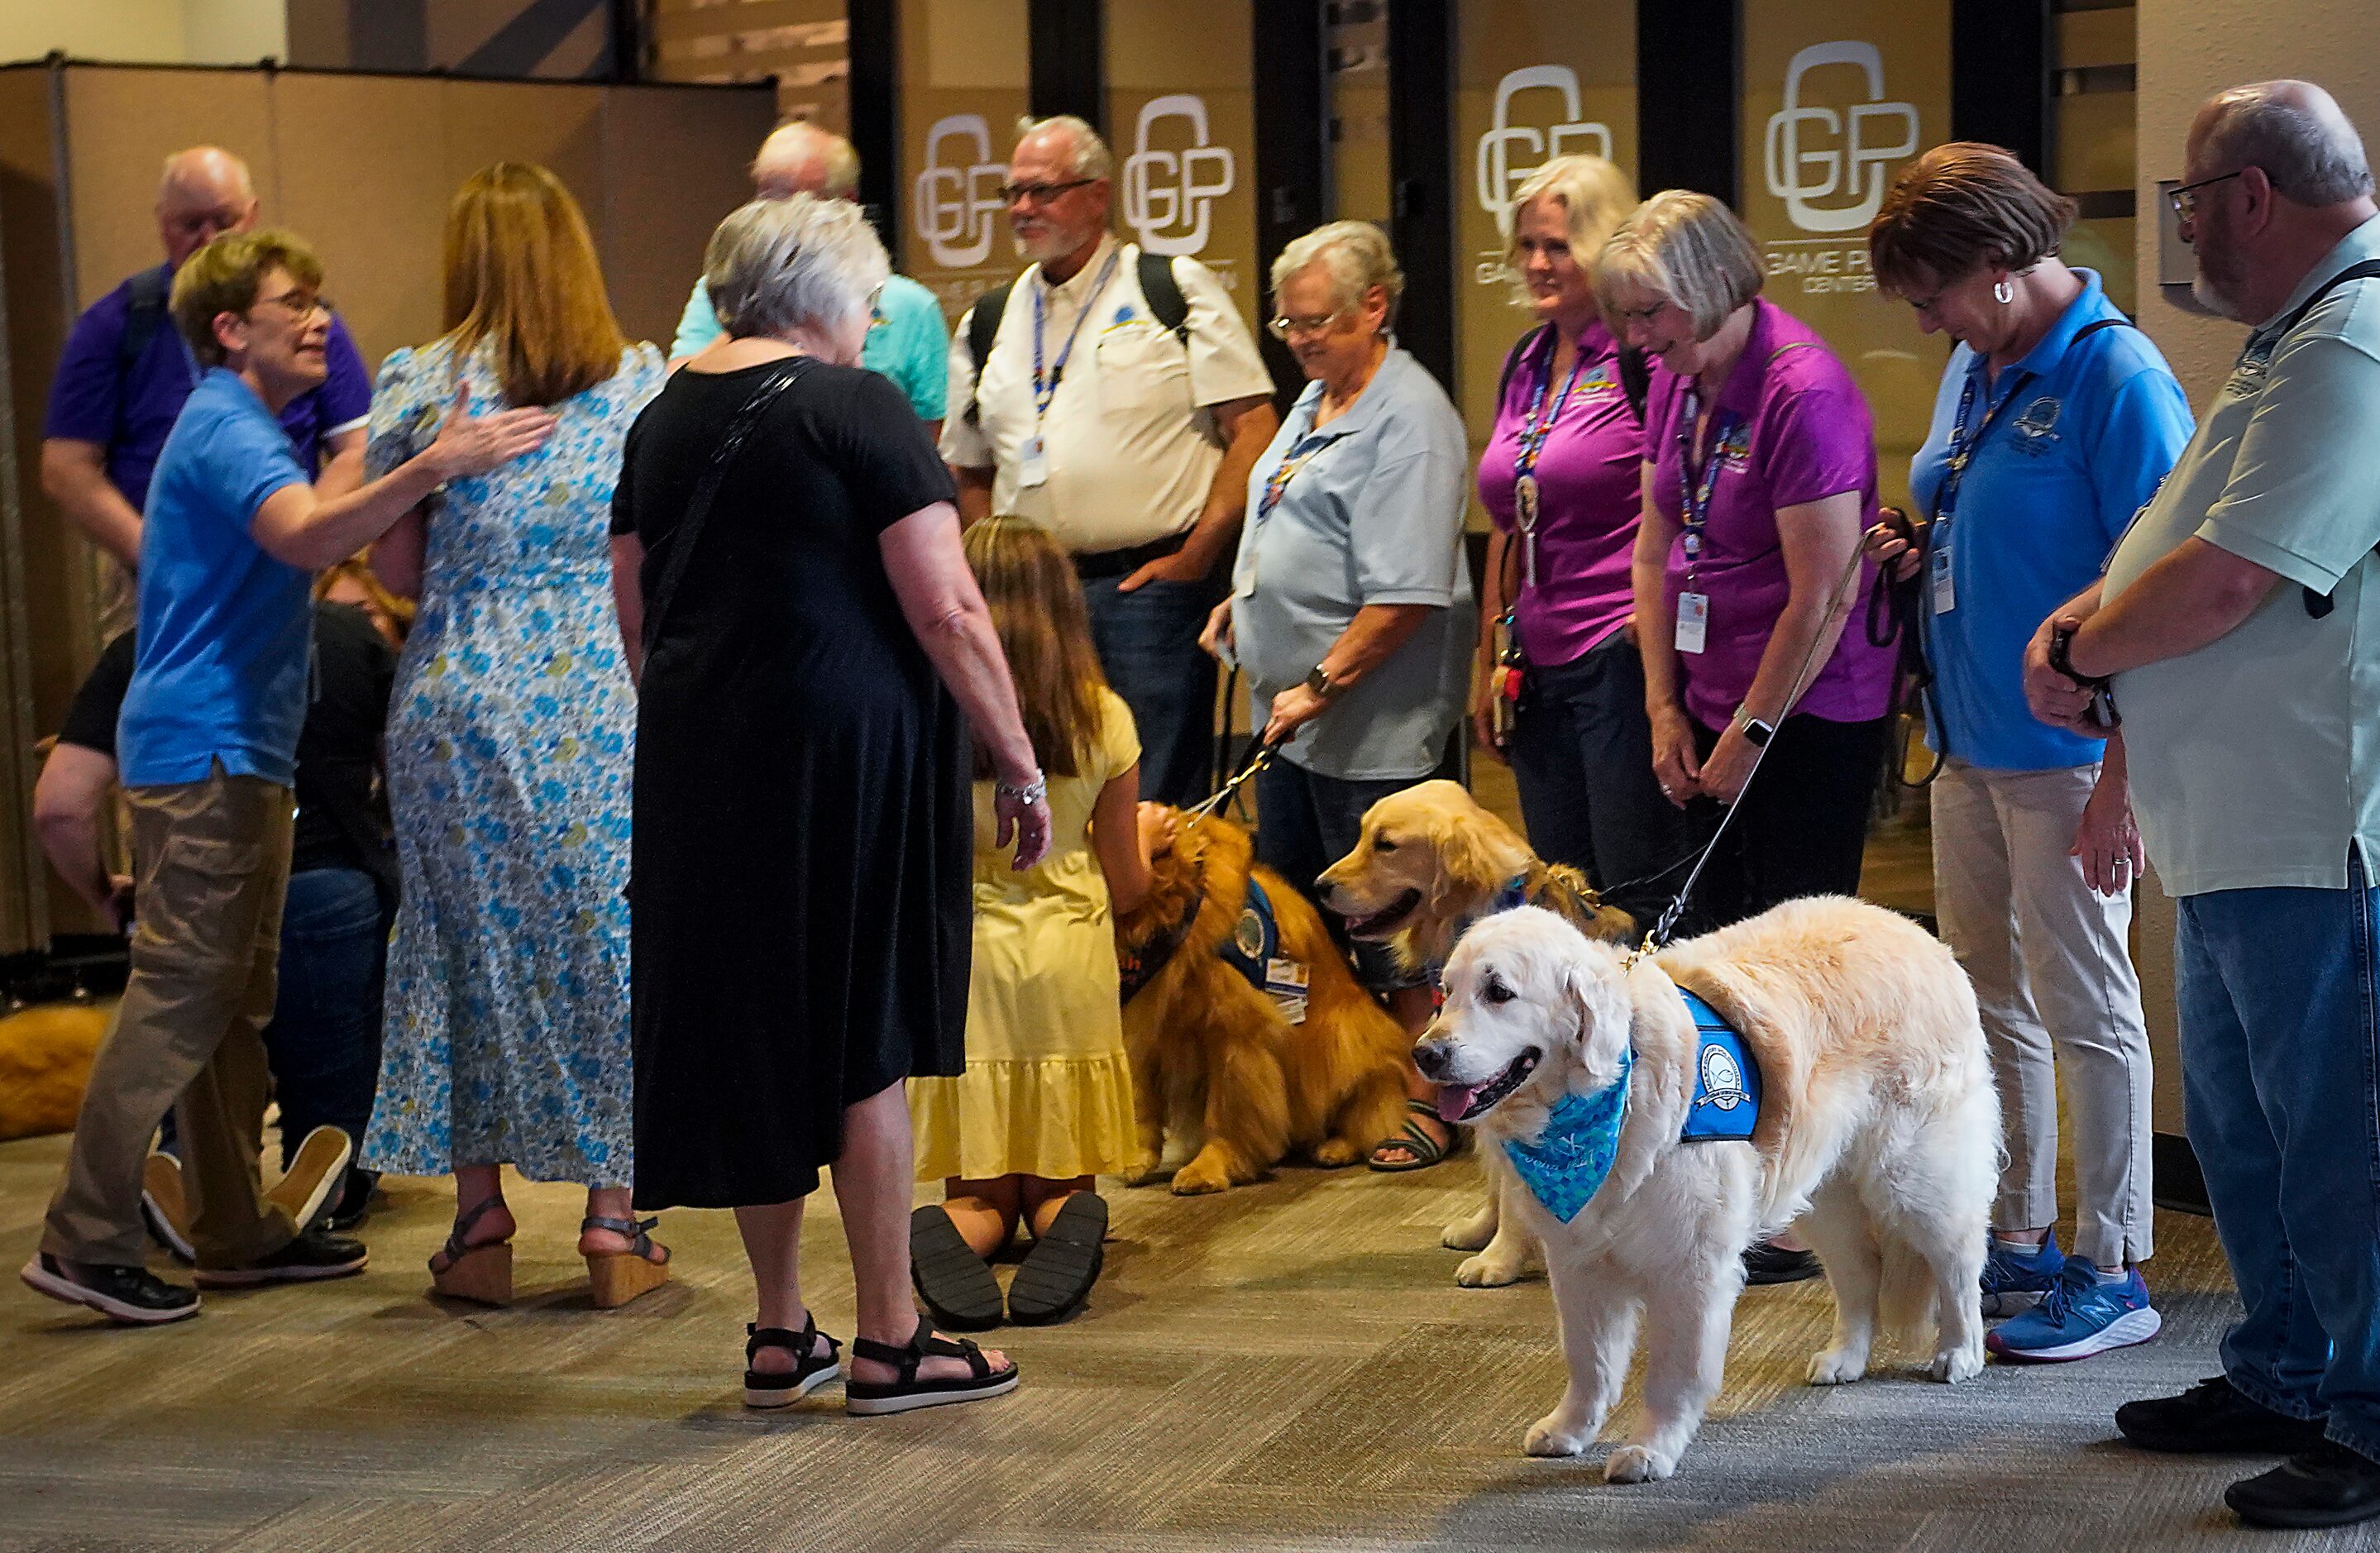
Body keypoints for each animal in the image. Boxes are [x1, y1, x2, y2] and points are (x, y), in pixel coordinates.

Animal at [1113, 804, 1408, 1193]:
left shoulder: (1234, 1035)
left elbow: (1227, 1112)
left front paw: (1211, 1166)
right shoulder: (1145, 1029)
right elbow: (1140, 1100)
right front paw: (1138, 1157)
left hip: (1345, 1037)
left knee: (1370, 1111)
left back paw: (1338, 1146)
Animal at [1313, 780, 1646, 1293]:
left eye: (1385, 845)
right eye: (1362, 835)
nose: (1319, 886)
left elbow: (1512, 1192)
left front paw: (1500, 1258)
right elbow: (1495, 1182)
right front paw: (1480, 1231)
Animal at [1418, 894, 1999, 1474]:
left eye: (1499, 992)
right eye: (1446, 993)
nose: (1427, 1054)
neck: (1609, 1099)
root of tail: (1915, 931)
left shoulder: (1691, 1265)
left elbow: (1674, 1372)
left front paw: (1652, 1448)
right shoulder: (1580, 1261)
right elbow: (1589, 1360)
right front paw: (1570, 1428)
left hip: (1913, 1178)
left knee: (1958, 1259)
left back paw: (1961, 1351)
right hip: (1819, 1190)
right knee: (1860, 1269)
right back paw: (1846, 1357)